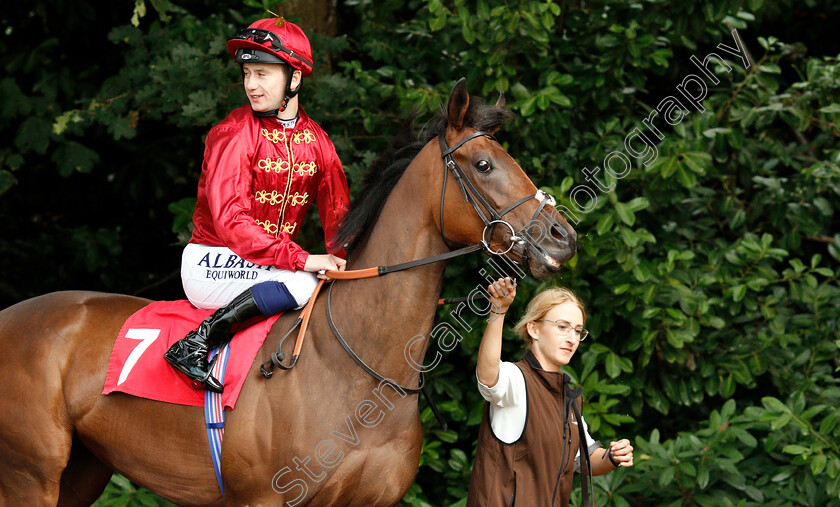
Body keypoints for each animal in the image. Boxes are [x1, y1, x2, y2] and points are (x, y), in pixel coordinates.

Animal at [0, 78, 576, 504]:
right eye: (484, 164)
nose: (562, 236)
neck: (359, 367)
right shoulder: (267, 497)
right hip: (30, 475)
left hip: (83, 470)